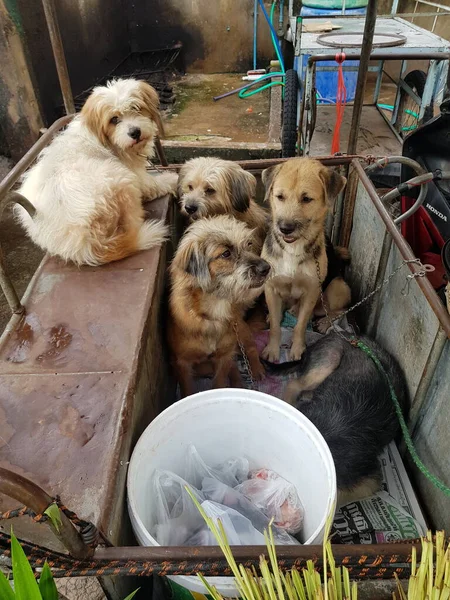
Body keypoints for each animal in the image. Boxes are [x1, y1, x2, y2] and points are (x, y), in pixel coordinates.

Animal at [17, 78, 177, 266]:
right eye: (114, 119)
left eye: (136, 108)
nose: (135, 132)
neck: (106, 140)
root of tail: (87, 245)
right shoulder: (133, 173)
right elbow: (152, 184)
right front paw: (171, 179)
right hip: (119, 179)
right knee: (131, 222)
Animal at [167, 213, 268, 396]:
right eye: (226, 253)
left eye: (248, 244)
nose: (267, 267)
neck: (215, 312)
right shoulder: (182, 364)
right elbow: (188, 390)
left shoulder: (223, 356)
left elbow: (219, 383)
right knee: (234, 365)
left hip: (241, 331)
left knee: (250, 348)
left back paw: (255, 370)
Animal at [260, 157, 352, 360]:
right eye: (280, 196)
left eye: (306, 199)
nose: (285, 228)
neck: (292, 249)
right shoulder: (270, 287)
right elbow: (275, 327)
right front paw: (272, 349)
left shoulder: (312, 290)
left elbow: (300, 325)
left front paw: (297, 349)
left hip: (338, 286)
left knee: (340, 310)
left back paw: (324, 322)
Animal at [264, 330, 408, 504]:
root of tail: (341, 333)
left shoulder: (369, 481)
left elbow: (338, 497)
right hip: (325, 364)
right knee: (295, 384)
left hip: (326, 362)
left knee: (296, 385)